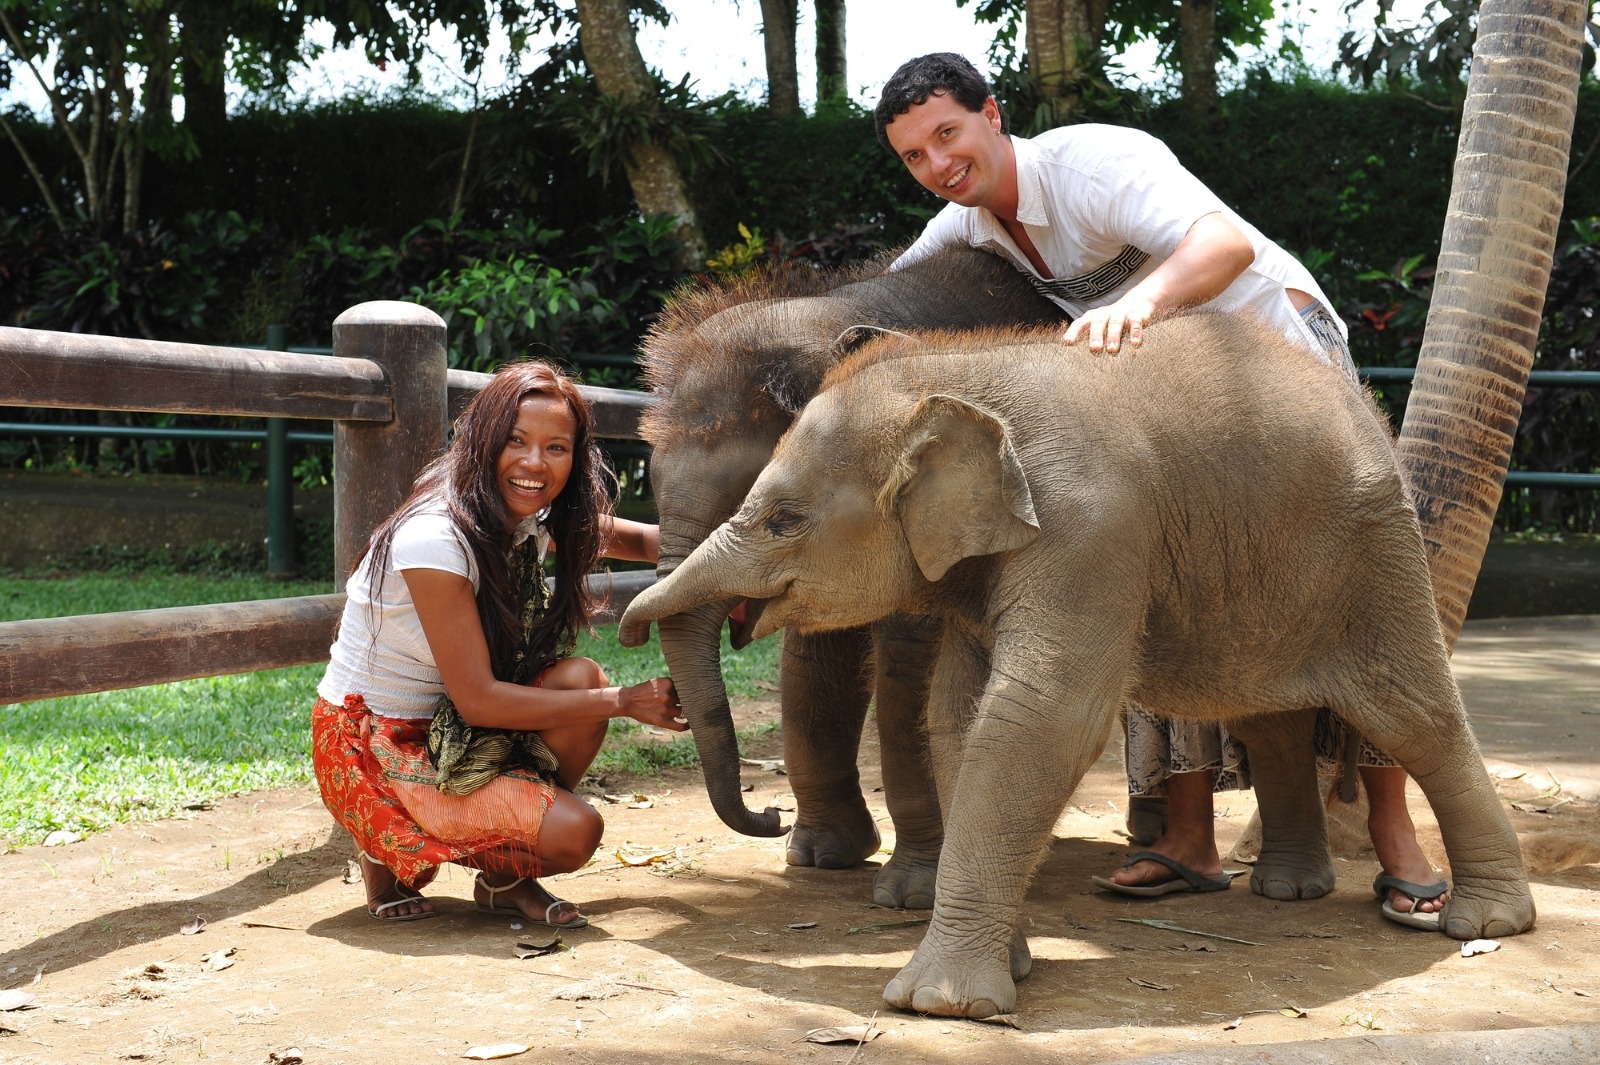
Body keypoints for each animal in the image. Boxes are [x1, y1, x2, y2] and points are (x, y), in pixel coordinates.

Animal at [614, 311, 1536, 1017]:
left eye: (784, 520)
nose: (621, 632)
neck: (966, 373)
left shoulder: (1091, 528)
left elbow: (1041, 714)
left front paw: (940, 1004)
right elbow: (961, 717)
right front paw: (1008, 967)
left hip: (1375, 546)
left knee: (1410, 712)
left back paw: (1482, 922)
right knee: (1268, 715)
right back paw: (1289, 892)